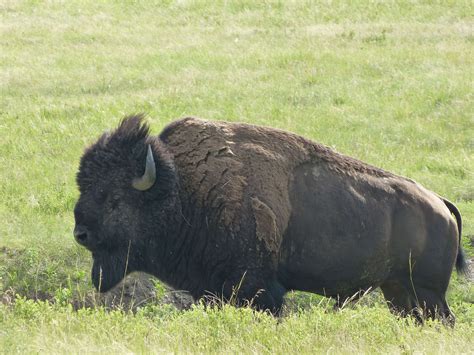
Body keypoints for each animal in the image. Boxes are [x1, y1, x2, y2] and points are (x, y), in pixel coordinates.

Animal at [74, 115, 466, 324]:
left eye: (113, 199)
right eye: (84, 187)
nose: (81, 233)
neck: (183, 190)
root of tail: (440, 203)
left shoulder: (261, 291)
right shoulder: (211, 291)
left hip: (428, 292)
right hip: (398, 290)